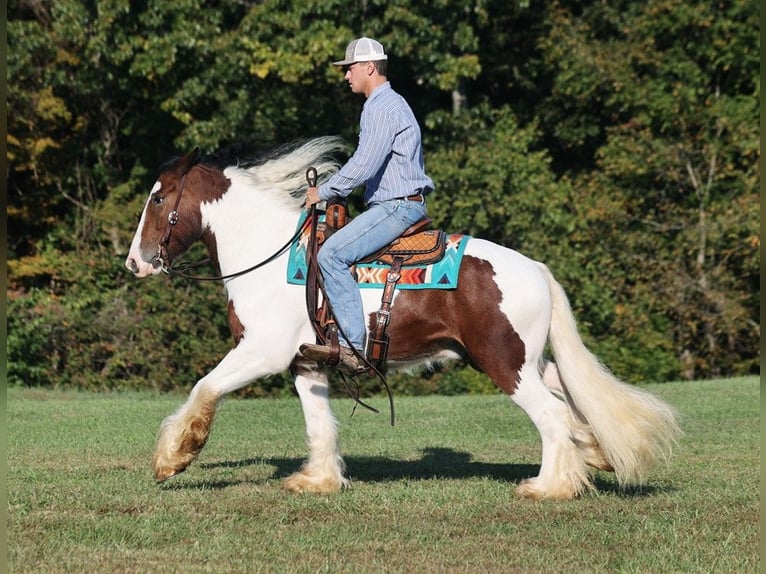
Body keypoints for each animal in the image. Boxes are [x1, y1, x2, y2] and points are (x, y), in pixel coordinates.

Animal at [126, 137, 684, 502]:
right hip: (529, 360)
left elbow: (204, 387)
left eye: (159, 197)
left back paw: (550, 487)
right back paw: (592, 454)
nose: (135, 262)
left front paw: (174, 457)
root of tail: (537, 270)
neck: (271, 257)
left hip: (504, 364)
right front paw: (318, 480)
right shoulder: (306, 364)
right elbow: (318, 424)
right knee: (568, 401)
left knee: (550, 416)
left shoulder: (261, 352)